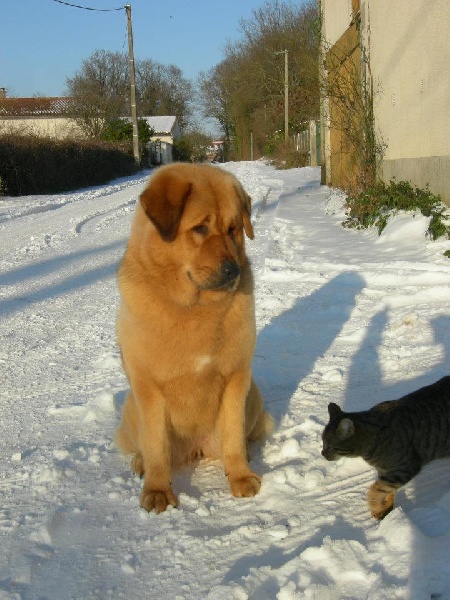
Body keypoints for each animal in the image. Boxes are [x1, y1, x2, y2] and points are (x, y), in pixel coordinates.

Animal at [114, 163, 272, 510]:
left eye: (233, 228)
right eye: (200, 228)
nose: (232, 271)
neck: (195, 309)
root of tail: (196, 448)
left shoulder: (236, 377)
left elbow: (233, 436)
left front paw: (240, 476)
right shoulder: (148, 388)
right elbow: (156, 444)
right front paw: (158, 490)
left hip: (253, 396)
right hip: (131, 407)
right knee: (143, 446)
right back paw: (140, 463)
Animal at [320, 378, 450, 516]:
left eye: (330, 446)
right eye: (323, 443)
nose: (322, 453)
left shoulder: (404, 468)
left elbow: (375, 490)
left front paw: (377, 508)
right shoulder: (386, 472)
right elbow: (385, 490)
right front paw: (386, 508)